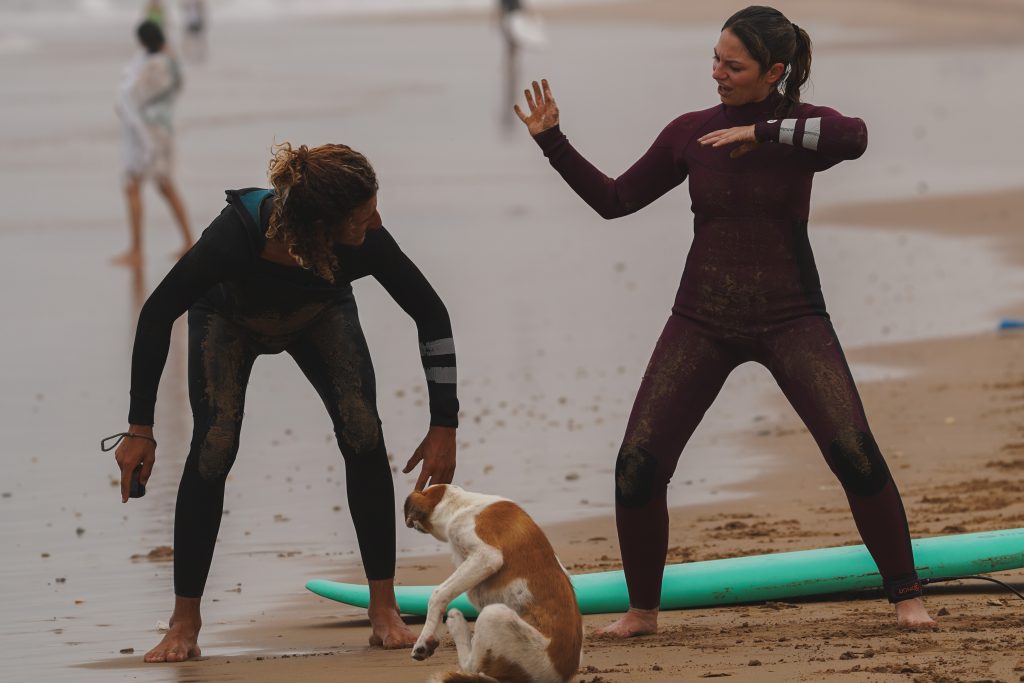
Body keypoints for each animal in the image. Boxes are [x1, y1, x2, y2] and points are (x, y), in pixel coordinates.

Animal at [407, 485, 585, 683]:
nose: (412, 523)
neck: (461, 505)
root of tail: (561, 675)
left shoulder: (487, 556)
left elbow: (438, 594)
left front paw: (424, 640)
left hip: (494, 614)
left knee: (471, 666)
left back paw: (457, 624)